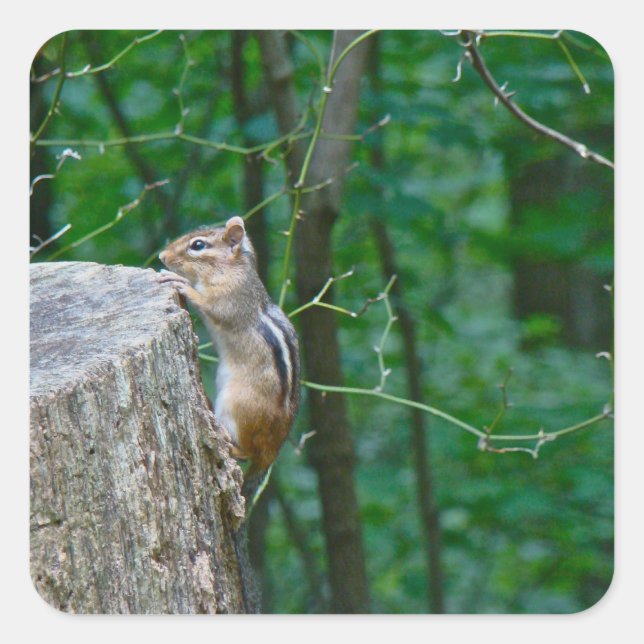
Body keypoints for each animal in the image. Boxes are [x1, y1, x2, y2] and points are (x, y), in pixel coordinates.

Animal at [157, 216, 300, 614]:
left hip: (237, 405)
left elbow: (211, 305)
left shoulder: (228, 300)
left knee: (243, 450)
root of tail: (272, 455)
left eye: (198, 246)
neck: (234, 269)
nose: (162, 256)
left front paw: (178, 283)